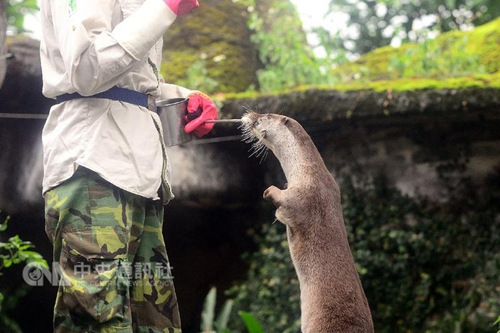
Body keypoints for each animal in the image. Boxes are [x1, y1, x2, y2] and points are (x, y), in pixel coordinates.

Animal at [240, 111, 374, 332]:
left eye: (265, 114)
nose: (250, 114)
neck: (307, 169)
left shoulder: (307, 194)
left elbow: (287, 205)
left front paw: (270, 192)